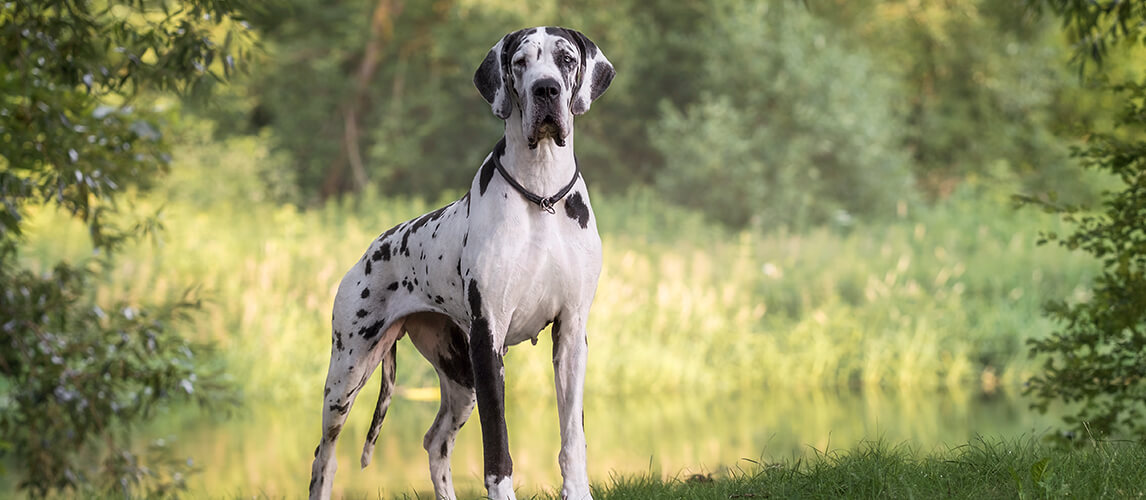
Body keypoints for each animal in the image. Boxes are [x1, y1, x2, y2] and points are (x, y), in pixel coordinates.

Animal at [302, 27, 609, 499]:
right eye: (520, 62)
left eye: (567, 59)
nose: (546, 89)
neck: (541, 194)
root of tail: (371, 248)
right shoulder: (488, 340)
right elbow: (497, 446)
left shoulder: (572, 333)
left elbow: (572, 435)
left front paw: (577, 491)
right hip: (348, 372)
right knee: (325, 456)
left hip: (460, 379)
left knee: (435, 441)